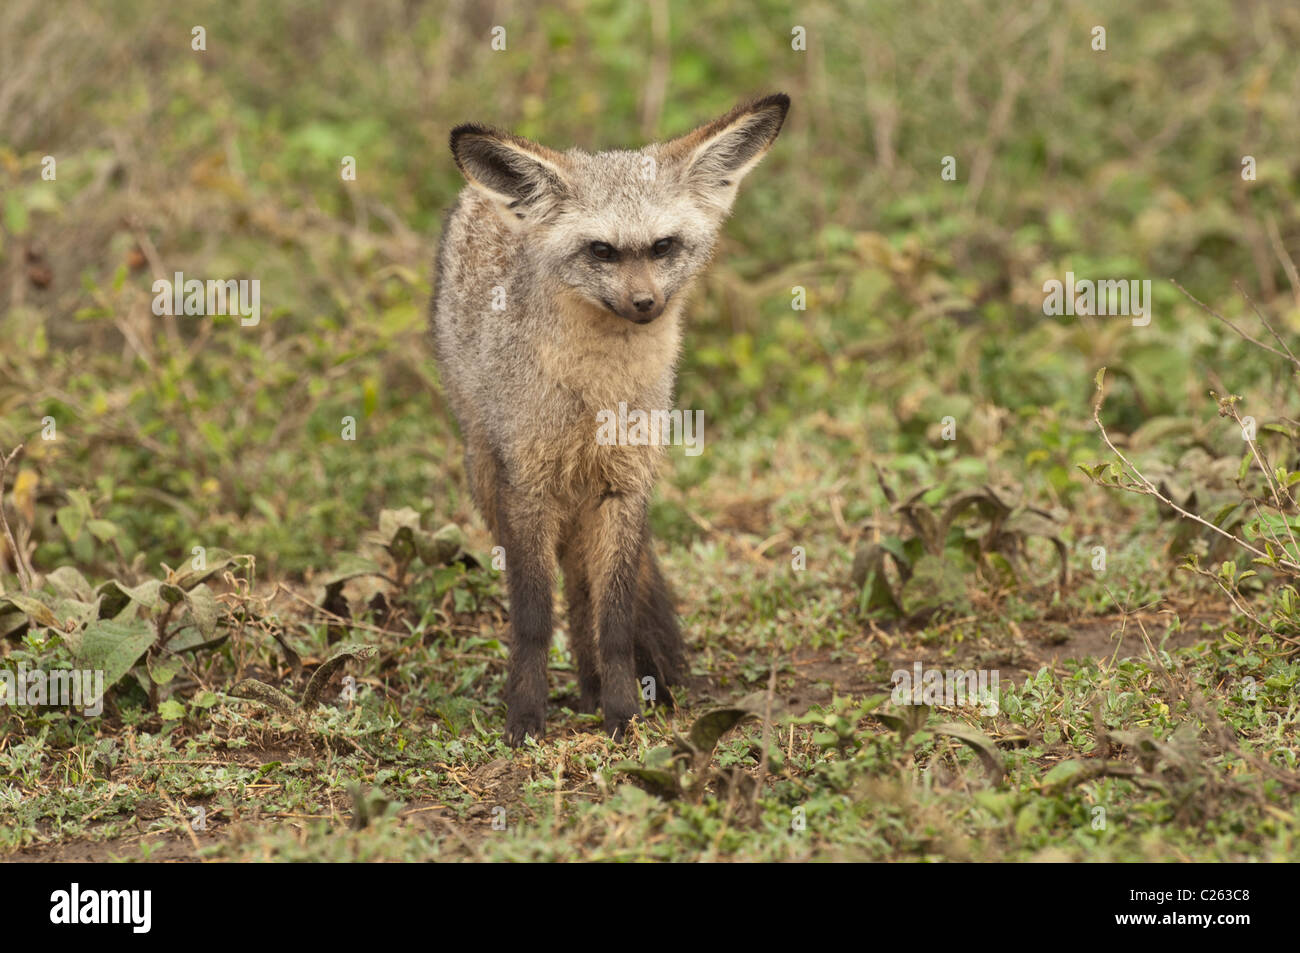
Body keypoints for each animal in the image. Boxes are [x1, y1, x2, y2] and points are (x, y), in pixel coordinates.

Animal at [431, 93, 790, 745]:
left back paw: (592, 687)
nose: (645, 305)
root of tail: (478, 196)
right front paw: (525, 717)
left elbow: (615, 617)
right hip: (489, 477)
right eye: (602, 251)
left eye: (663, 247)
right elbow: (531, 619)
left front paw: (622, 713)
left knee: (581, 593)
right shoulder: (529, 487)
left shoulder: (627, 485)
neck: (596, 396)